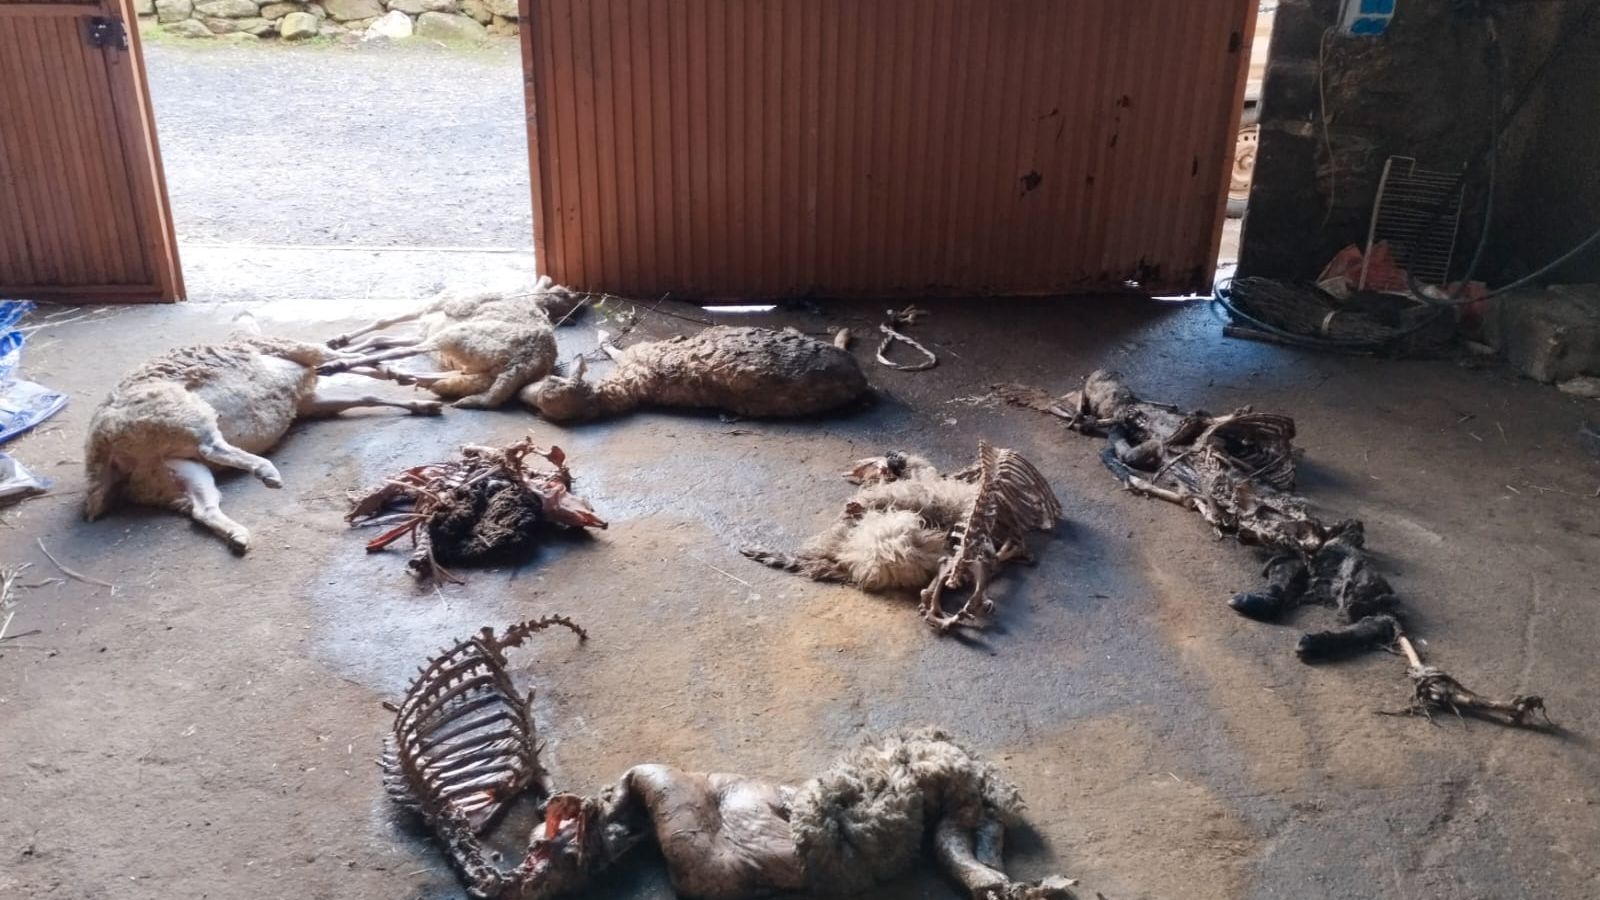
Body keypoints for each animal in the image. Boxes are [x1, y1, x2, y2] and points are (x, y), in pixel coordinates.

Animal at [84, 337, 441, 553]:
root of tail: (102, 449)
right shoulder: (302, 355)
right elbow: (354, 359)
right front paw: (400, 368)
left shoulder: (308, 402)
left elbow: (364, 394)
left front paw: (421, 402)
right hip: (180, 412)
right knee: (213, 447)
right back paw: (266, 472)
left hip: (169, 469)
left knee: (203, 507)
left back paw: (238, 536)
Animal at [318, 276, 585, 409]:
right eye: (562, 293)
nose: (577, 295)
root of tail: (527, 361)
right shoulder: (425, 328)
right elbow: (381, 338)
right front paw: (341, 343)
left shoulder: (436, 309)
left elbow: (384, 325)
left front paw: (339, 347)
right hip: (480, 373)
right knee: (432, 375)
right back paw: (392, 373)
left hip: (459, 336)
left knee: (405, 352)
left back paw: (337, 365)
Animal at [522, 325, 869, 422]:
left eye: (550, 381)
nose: (520, 395)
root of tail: (858, 379)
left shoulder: (637, 354)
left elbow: (612, 347)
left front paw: (602, 334)